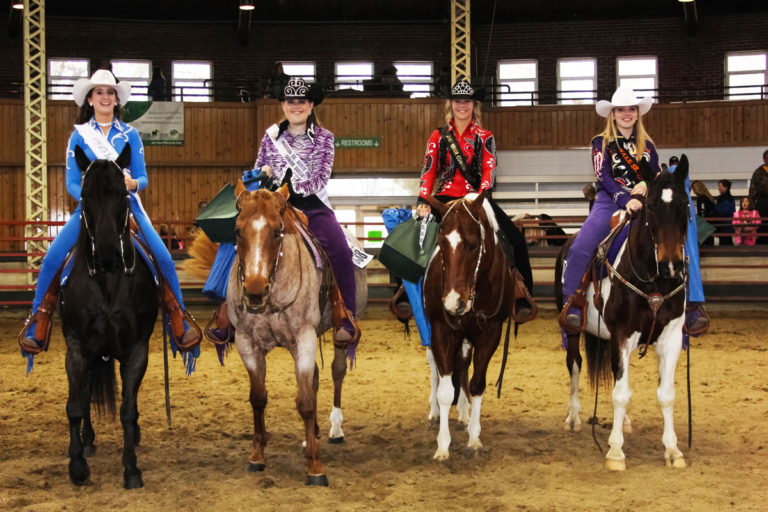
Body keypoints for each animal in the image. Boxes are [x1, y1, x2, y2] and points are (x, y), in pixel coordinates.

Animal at [59, 144, 159, 488]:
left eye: (122, 195)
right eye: (85, 196)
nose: (107, 257)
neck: (106, 284)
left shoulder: (137, 350)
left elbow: (128, 409)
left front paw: (131, 469)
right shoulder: (77, 349)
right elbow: (76, 405)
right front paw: (77, 466)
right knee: (87, 392)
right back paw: (88, 442)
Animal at [186, 182, 366, 486]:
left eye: (276, 231)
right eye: (237, 230)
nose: (255, 291)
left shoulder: (304, 338)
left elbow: (305, 401)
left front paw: (315, 467)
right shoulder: (247, 343)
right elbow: (258, 398)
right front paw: (257, 455)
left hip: (339, 336)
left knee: (336, 371)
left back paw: (335, 429)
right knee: (315, 378)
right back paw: (314, 434)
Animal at [420, 190, 516, 462]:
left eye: (473, 245)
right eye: (441, 243)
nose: (454, 303)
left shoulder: (491, 333)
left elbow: (476, 384)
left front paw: (474, 439)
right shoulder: (441, 330)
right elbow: (444, 390)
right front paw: (442, 446)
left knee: (462, 365)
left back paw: (463, 413)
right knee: (435, 365)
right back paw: (435, 412)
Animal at [556, 156, 692, 472]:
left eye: (685, 205)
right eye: (651, 206)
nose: (671, 265)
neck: (654, 281)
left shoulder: (670, 339)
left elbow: (666, 395)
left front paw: (673, 450)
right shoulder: (622, 336)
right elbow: (620, 395)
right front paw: (616, 452)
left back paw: (625, 422)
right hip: (572, 329)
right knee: (575, 365)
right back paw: (574, 418)